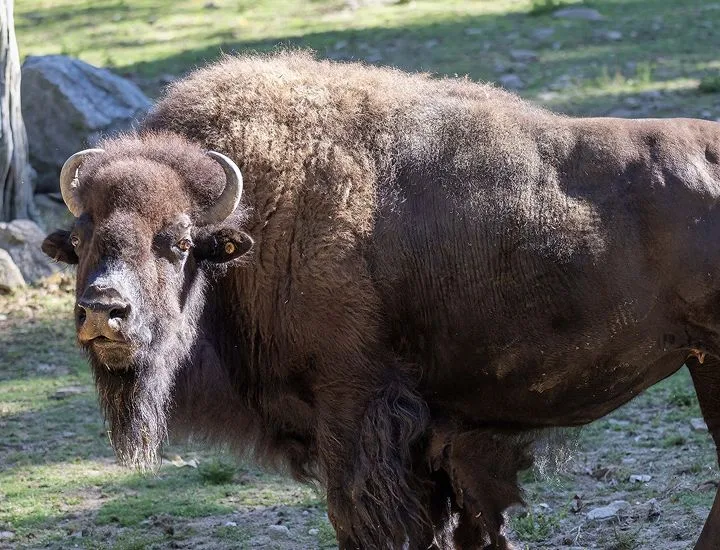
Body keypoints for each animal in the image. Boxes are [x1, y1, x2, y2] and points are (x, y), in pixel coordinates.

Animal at [42, 52, 720, 549]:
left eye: (178, 241)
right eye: (80, 239)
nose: (104, 311)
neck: (256, 225)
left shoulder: (356, 411)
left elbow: (371, 522)